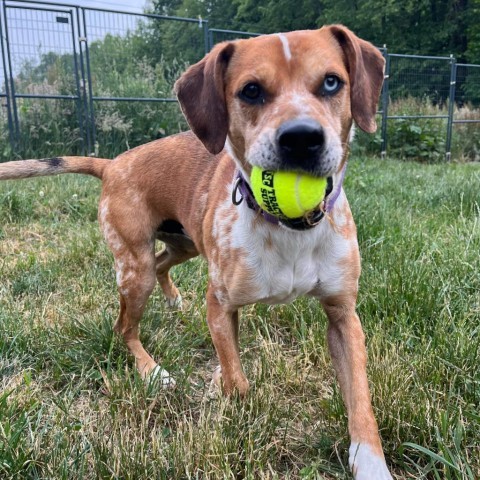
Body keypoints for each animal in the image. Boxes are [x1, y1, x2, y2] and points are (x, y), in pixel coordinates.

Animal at [0, 27, 392, 480]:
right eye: (251, 90)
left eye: (331, 82)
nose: (301, 138)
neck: (288, 230)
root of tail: (112, 163)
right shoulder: (220, 304)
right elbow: (237, 377)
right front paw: (235, 407)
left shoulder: (343, 315)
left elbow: (360, 398)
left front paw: (371, 462)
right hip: (134, 270)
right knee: (123, 327)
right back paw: (153, 372)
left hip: (183, 244)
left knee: (162, 264)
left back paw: (172, 300)